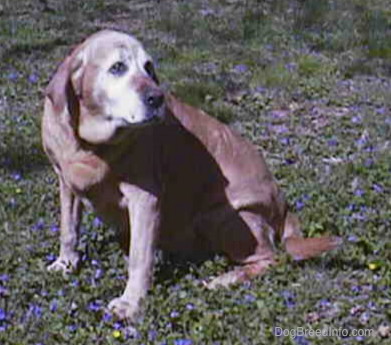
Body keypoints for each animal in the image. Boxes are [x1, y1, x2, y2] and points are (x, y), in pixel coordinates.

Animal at [43, 30, 342, 320]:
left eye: (148, 67)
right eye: (117, 67)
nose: (157, 98)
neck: (90, 146)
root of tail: (284, 208)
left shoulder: (144, 200)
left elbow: (140, 259)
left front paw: (131, 304)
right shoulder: (66, 184)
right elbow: (68, 230)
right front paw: (65, 263)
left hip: (222, 216)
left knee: (271, 258)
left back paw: (223, 279)